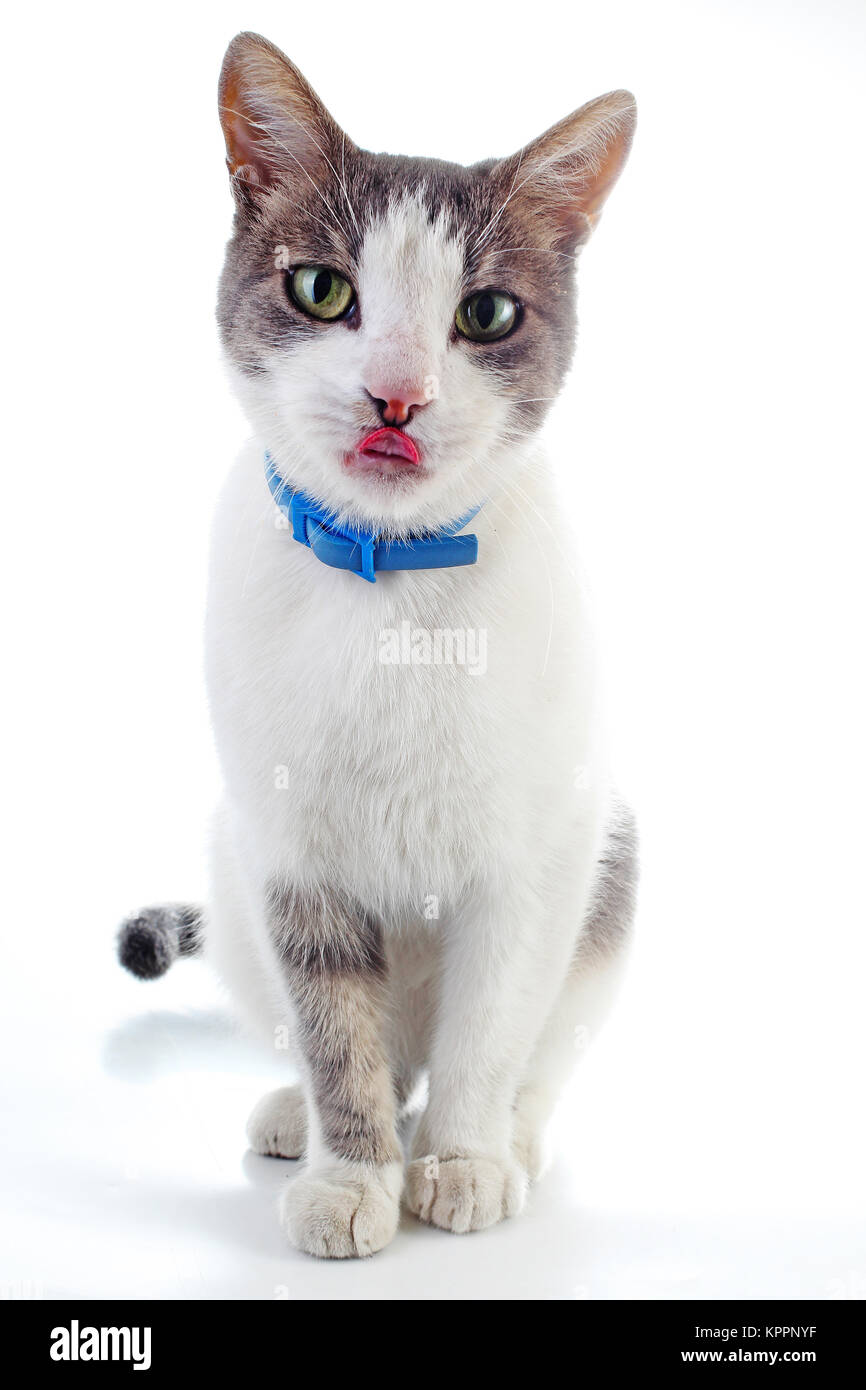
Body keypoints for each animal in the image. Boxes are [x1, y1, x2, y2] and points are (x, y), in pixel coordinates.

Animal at [118, 29, 636, 1262]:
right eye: (323, 290)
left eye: (485, 314)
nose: (396, 396)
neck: (391, 592)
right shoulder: (291, 856)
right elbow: (334, 1031)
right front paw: (353, 1174)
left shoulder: (534, 858)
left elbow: (490, 1032)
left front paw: (460, 1160)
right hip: (229, 861)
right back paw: (292, 1118)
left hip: (612, 861)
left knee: (530, 1057)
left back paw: (512, 1143)